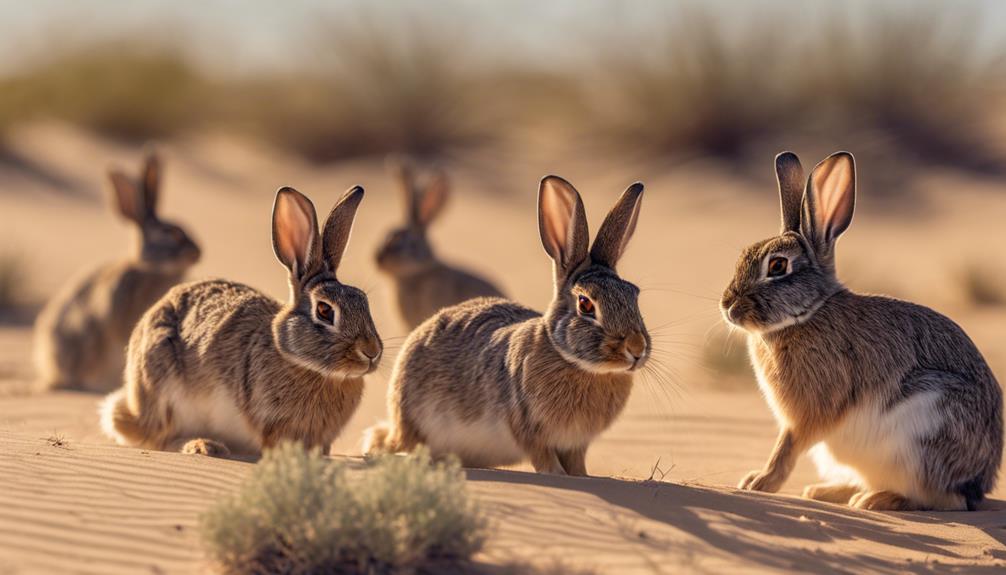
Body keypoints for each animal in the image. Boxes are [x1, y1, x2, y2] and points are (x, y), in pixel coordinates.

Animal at [99, 185, 380, 456]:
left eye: (364, 300)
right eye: (324, 310)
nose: (372, 352)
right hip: (162, 386)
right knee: (161, 438)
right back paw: (204, 445)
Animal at [366, 175, 647, 476]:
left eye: (634, 294)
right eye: (586, 304)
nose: (637, 349)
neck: (573, 361)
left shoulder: (575, 444)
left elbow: (576, 465)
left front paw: (581, 477)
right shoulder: (528, 430)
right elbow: (545, 460)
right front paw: (557, 475)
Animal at [720, 150, 1001, 510]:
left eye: (778, 266)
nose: (728, 306)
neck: (809, 313)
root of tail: (979, 482)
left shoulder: (811, 409)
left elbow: (787, 447)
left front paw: (760, 483)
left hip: (924, 434)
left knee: (943, 499)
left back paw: (876, 500)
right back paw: (828, 492)